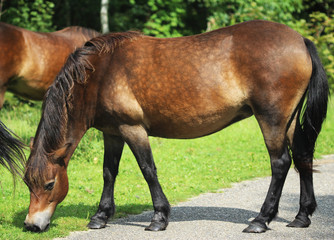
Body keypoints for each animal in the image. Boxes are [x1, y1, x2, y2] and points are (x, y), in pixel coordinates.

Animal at [22, 20, 328, 232]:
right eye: (27, 183)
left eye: (50, 184)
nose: (31, 225)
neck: (101, 73)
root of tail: (300, 40)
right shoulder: (112, 132)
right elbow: (109, 172)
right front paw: (101, 216)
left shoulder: (133, 128)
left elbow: (148, 170)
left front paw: (159, 217)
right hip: (289, 120)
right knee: (302, 157)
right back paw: (301, 217)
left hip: (271, 119)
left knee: (280, 163)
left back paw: (261, 220)